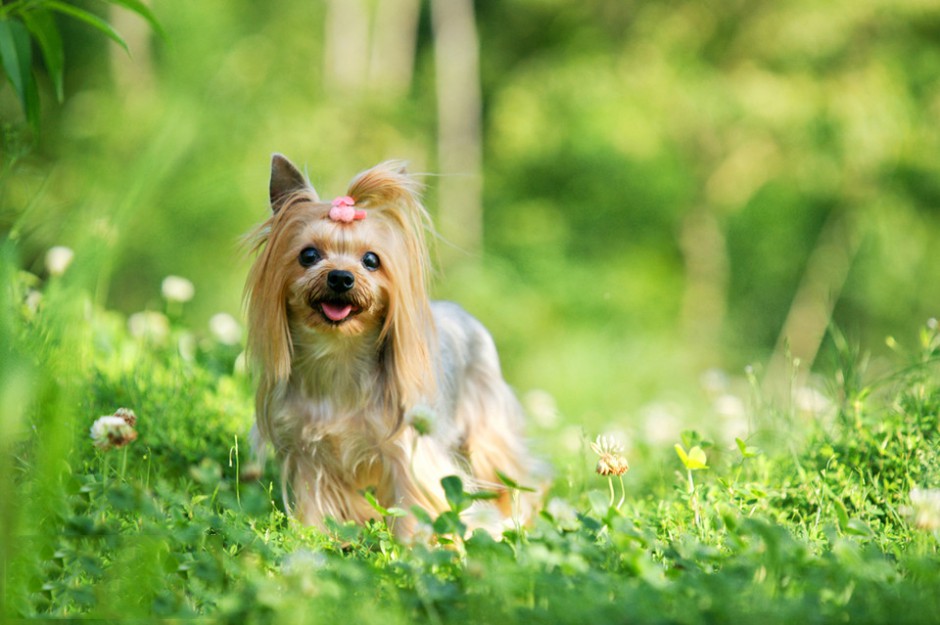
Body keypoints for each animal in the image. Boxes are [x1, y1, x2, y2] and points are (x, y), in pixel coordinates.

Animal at [246, 155, 544, 536]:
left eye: (371, 260)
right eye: (308, 255)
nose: (340, 277)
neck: (340, 354)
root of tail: (462, 311)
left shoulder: (408, 452)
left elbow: (414, 507)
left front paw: (413, 547)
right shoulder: (310, 453)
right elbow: (314, 504)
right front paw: (313, 539)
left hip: (488, 430)